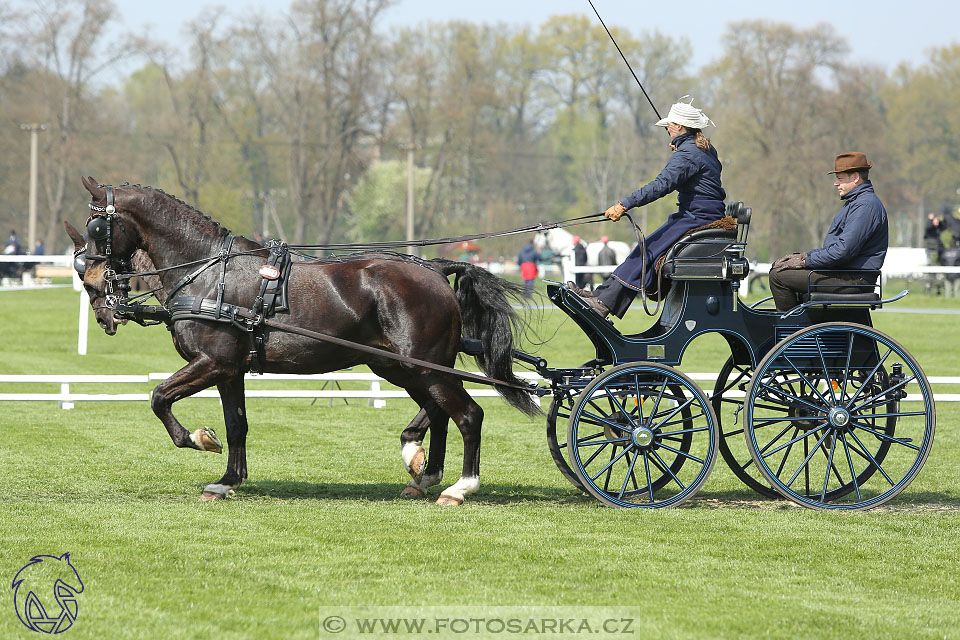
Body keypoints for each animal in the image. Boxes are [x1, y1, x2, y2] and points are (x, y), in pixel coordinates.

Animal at [65, 179, 540, 504]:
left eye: (98, 228)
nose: (93, 284)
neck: (208, 273)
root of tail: (436, 271)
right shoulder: (230, 370)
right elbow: (237, 425)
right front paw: (228, 481)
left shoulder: (212, 362)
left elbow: (159, 397)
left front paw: (200, 439)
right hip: (400, 366)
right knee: (439, 412)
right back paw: (421, 470)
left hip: (422, 366)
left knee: (468, 415)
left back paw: (459, 487)